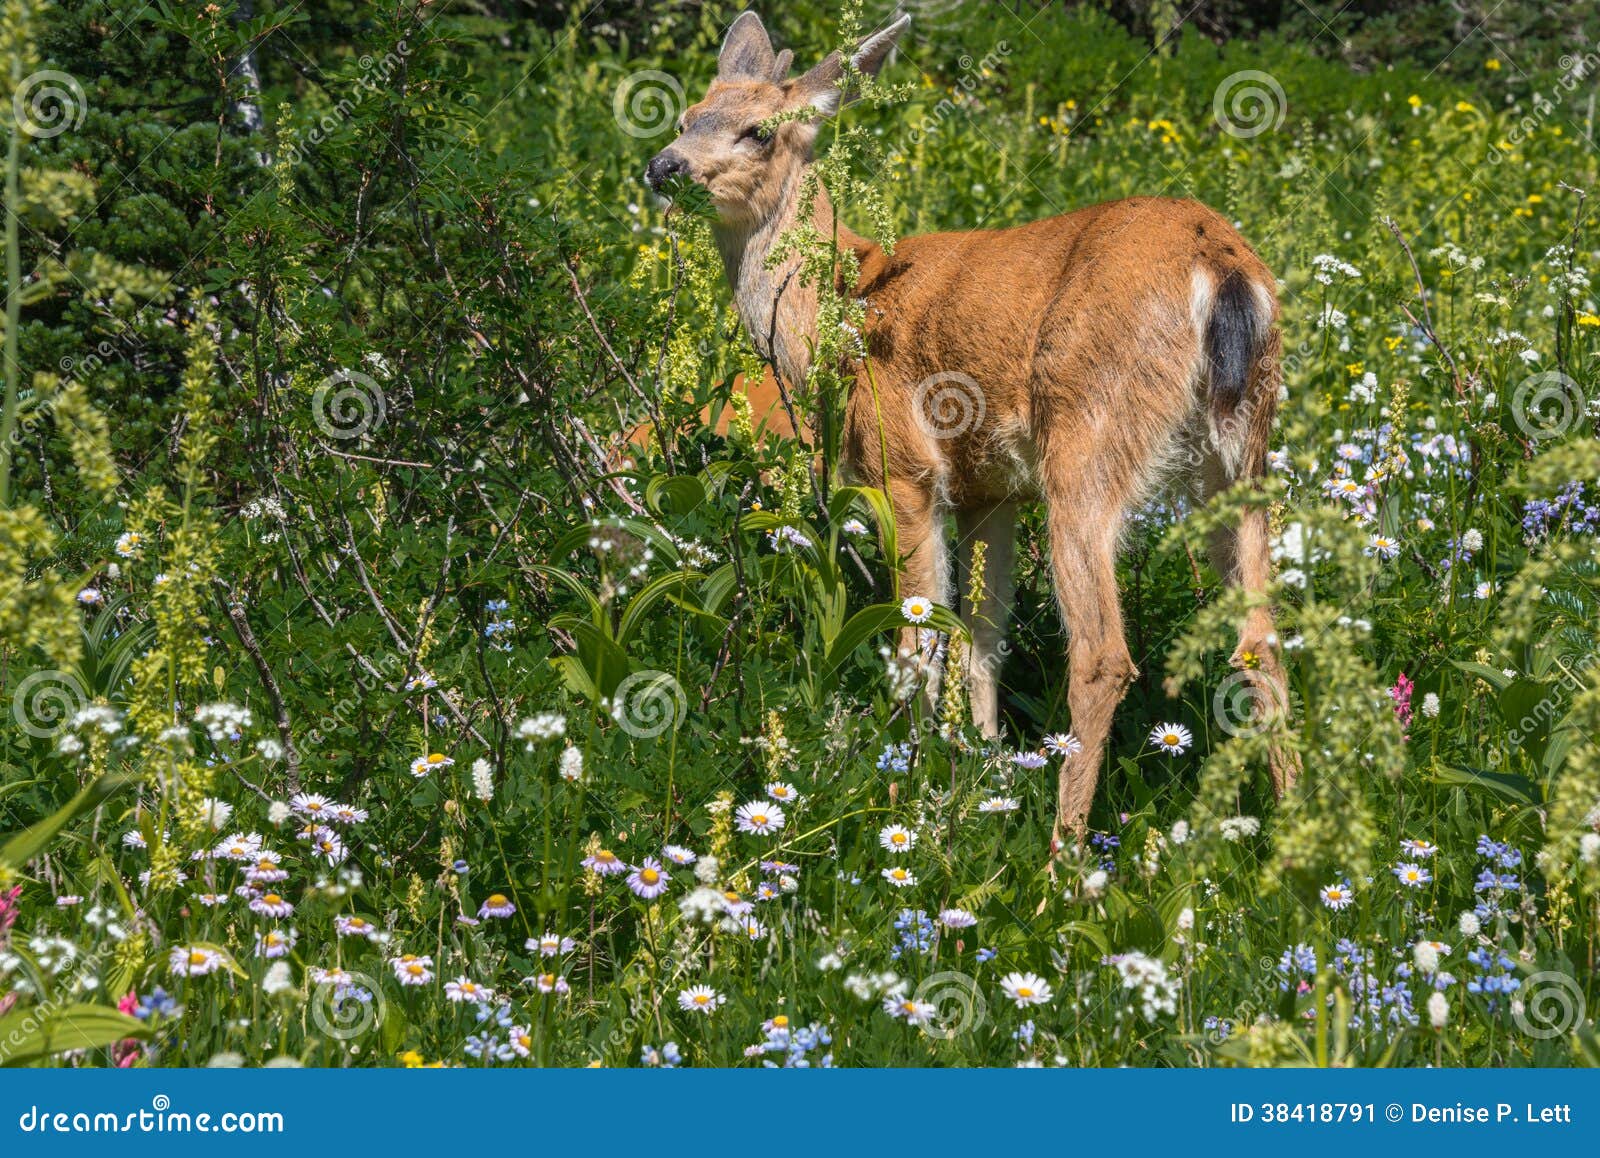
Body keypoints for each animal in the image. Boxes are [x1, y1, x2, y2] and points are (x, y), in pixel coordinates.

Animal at [644, 10, 1294, 852]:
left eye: (758, 131)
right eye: (688, 115)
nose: (663, 167)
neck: (837, 306)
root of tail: (1222, 268)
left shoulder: (904, 468)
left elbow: (918, 641)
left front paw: (907, 789)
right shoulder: (992, 488)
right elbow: (982, 633)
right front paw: (982, 769)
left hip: (1087, 434)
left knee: (1102, 655)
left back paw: (1062, 859)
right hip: (1243, 453)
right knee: (1263, 639)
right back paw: (1298, 837)